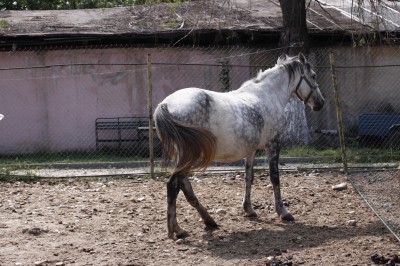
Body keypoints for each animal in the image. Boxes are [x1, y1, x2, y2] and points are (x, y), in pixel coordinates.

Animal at [153, 52, 324, 239]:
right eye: (313, 75)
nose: (320, 103)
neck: (267, 96)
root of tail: (166, 105)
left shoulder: (251, 151)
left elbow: (248, 177)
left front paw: (249, 210)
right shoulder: (273, 145)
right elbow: (274, 178)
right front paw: (283, 212)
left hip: (185, 157)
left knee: (184, 187)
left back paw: (207, 221)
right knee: (173, 185)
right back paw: (176, 229)